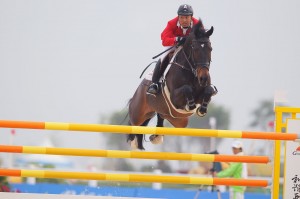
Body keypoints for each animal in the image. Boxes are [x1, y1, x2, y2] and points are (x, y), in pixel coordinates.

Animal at [126, 20, 216, 151]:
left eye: (210, 48)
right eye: (195, 48)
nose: (203, 78)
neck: (191, 71)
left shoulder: (201, 93)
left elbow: (208, 90)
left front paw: (202, 109)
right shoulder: (175, 98)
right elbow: (187, 88)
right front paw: (191, 105)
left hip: (177, 120)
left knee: (160, 116)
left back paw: (156, 137)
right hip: (138, 114)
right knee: (134, 126)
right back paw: (134, 143)